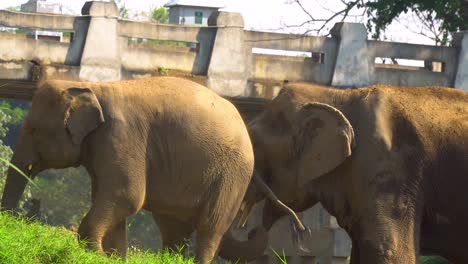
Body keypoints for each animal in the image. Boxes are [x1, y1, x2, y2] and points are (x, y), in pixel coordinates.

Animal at [0, 75, 304, 264]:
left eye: (33, 130)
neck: (90, 85)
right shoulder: (105, 146)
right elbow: (115, 202)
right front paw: (112, 257)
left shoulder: (120, 136)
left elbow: (126, 196)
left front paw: (97, 255)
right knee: (173, 227)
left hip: (232, 175)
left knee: (210, 227)